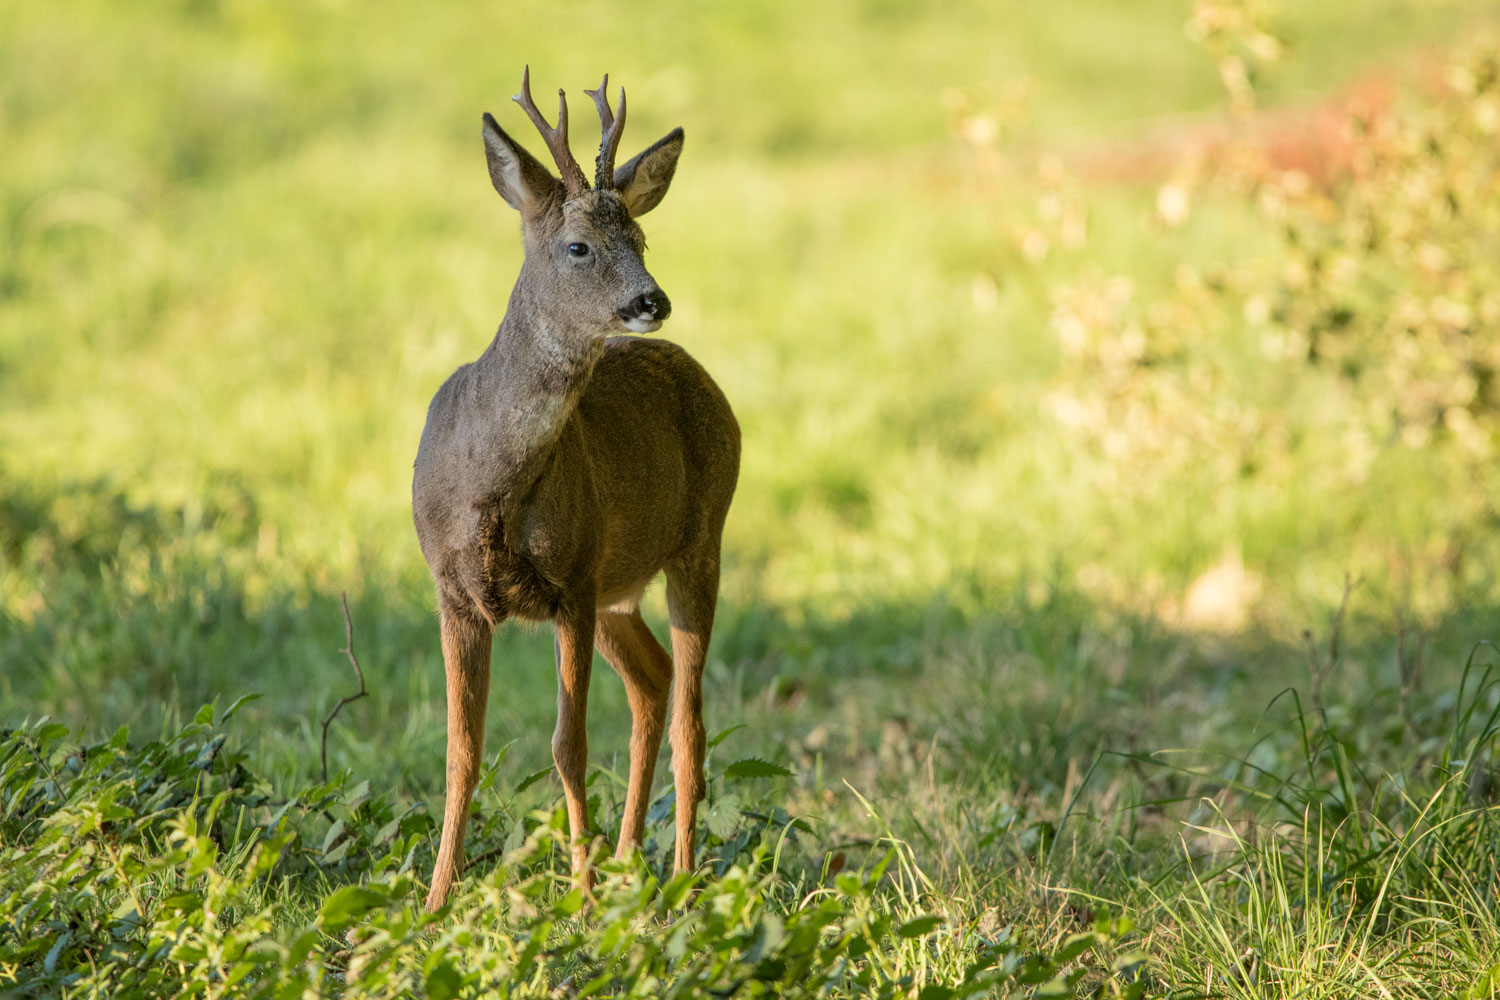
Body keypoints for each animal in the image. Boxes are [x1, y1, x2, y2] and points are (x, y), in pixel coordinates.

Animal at [411, 68, 740, 912]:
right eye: (579, 245)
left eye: (643, 240)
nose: (651, 301)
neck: (489, 488)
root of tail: (707, 379)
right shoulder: (453, 590)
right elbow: (461, 748)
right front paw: (432, 903)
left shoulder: (573, 584)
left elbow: (567, 742)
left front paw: (583, 897)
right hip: (621, 587)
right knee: (653, 685)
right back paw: (629, 860)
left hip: (699, 542)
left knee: (690, 714)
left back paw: (678, 877)